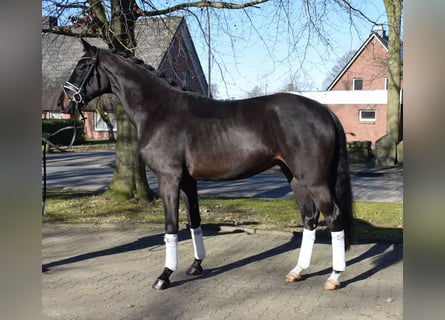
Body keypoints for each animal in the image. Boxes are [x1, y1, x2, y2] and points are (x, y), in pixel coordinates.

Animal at [59, 38, 354, 292]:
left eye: (82, 66)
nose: (63, 103)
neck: (158, 110)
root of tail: (324, 111)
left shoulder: (169, 178)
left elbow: (170, 226)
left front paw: (165, 275)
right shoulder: (188, 181)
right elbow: (194, 220)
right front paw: (196, 266)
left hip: (315, 181)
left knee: (334, 217)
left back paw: (334, 276)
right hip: (295, 178)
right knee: (310, 218)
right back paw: (297, 271)